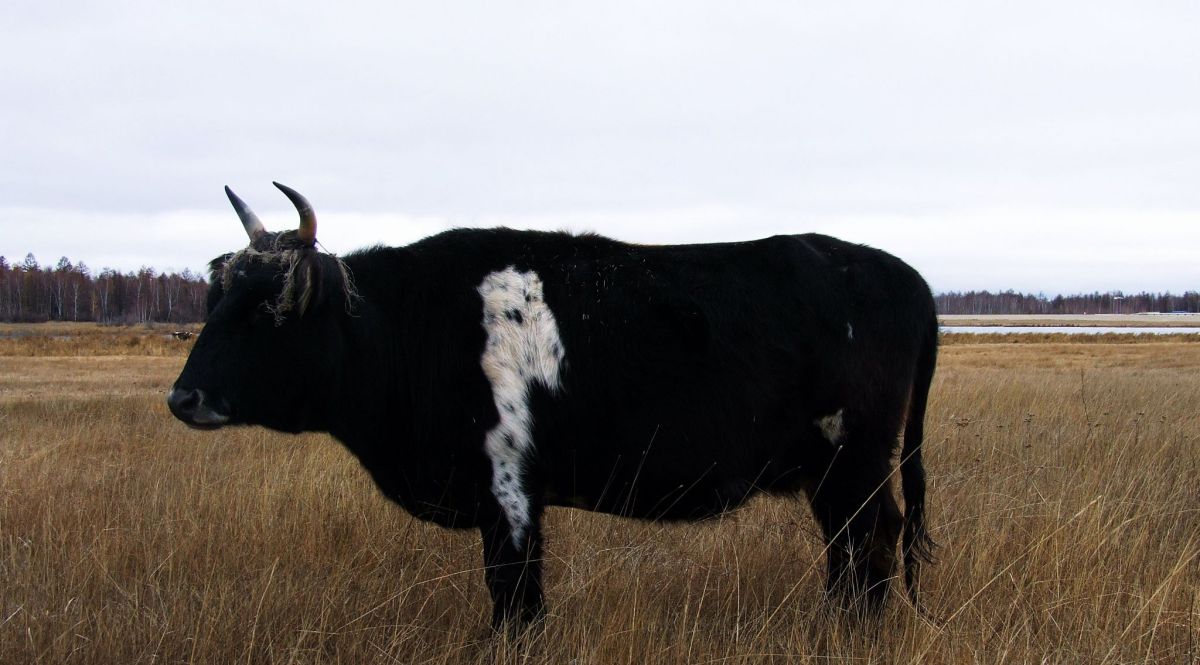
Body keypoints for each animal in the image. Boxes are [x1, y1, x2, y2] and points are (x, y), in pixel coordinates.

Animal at [168, 182, 938, 630]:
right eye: (214, 301)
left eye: (267, 310)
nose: (182, 396)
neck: (410, 325)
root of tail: (900, 272)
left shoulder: (509, 493)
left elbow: (515, 601)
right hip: (831, 473)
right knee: (853, 550)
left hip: (857, 462)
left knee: (869, 545)